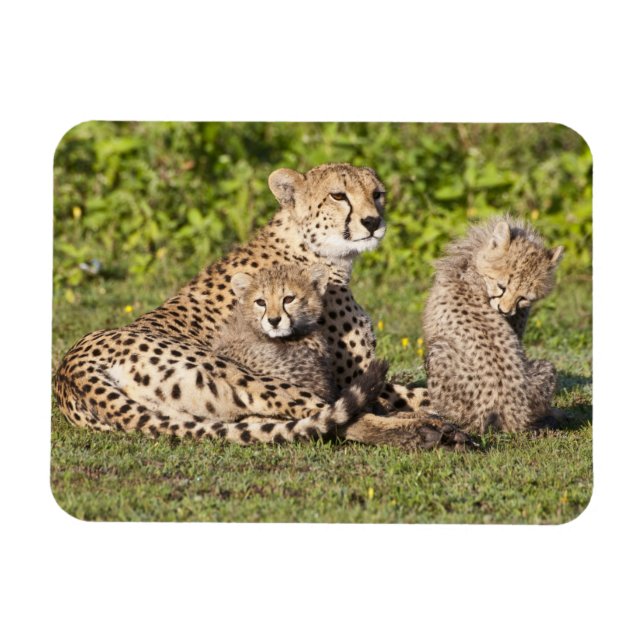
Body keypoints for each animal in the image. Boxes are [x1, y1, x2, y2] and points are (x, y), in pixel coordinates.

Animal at [55, 162, 466, 449]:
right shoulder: (345, 374)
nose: (373, 221)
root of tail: (69, 370)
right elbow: (408, 394)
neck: (312, 249)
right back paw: (429, 431)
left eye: (377, 193)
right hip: (242, 374)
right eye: (339, 196)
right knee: (336, 417)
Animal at [422, 215, 564, 434]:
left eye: (523, 297)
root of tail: (510, 413)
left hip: (439, 350)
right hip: (545, 367)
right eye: (502, 286)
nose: (505, 311)